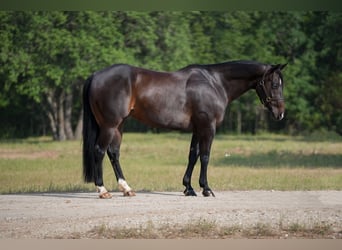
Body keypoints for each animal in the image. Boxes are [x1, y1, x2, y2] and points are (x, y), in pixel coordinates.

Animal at [82, 60, 286, 197]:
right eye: (275, 84)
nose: (281, 113)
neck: (215, 83)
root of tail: (96, 75)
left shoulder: (197, 128)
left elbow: (193, 155)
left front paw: (189, 188)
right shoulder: (208, 127)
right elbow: (205, 156)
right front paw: (206, 188)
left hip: (119, 125)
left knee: (113, 153)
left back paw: (126, 188)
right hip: (109, 125)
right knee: (99, 151)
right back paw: (102, 190)